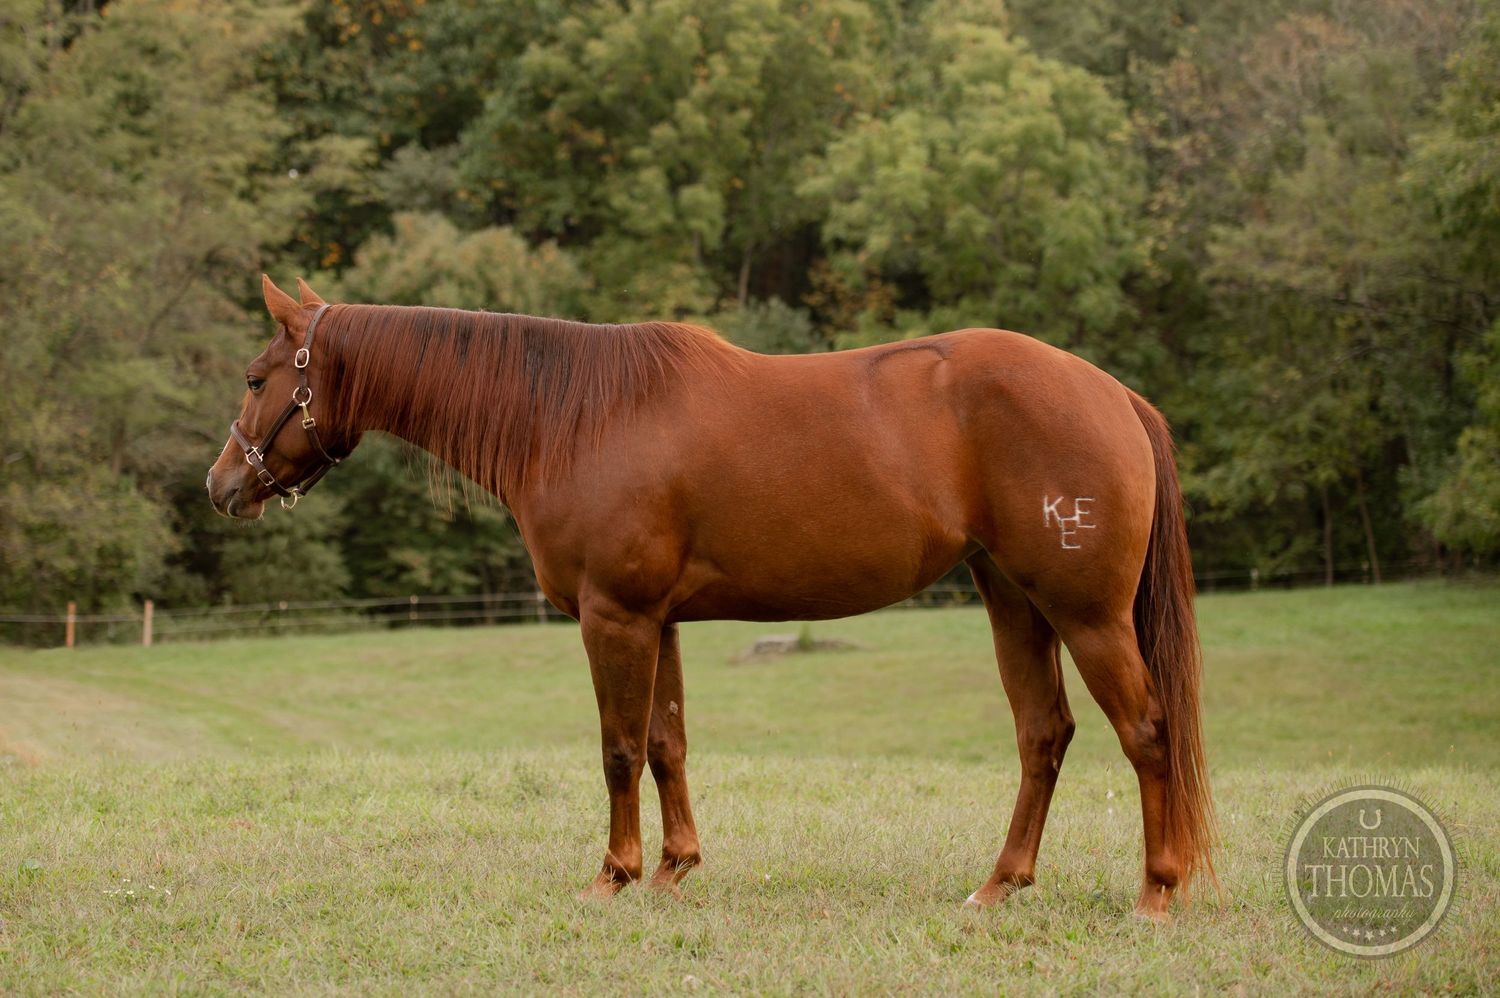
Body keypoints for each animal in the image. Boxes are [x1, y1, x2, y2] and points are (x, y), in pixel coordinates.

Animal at [207, 276, 1215, 918]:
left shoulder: (613, 618)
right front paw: (674, 869)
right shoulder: (659, 622)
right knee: (1043, 735)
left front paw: (612, 877)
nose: (221, 485)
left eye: (257, 379)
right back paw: (998, 886)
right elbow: (667, 744)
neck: (577, 419)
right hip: (1014, 601)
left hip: (1087, 615)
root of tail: (1113, 394)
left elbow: (618, 749)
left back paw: (1156, 893)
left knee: (1146, 733)